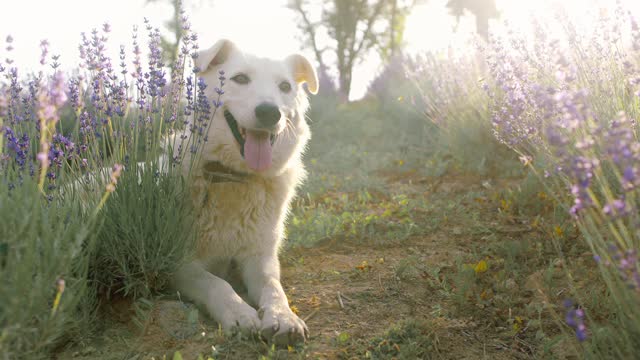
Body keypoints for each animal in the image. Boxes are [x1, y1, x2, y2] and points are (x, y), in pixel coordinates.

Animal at [171, 39, 318, 346]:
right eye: (240, 79)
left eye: (284, 86)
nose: (269, 112)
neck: (233, 178)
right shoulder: (179, 264)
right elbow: (216, 282)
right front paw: (239, 313)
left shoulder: (260, 258)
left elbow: (274, 288)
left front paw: (283, 317)